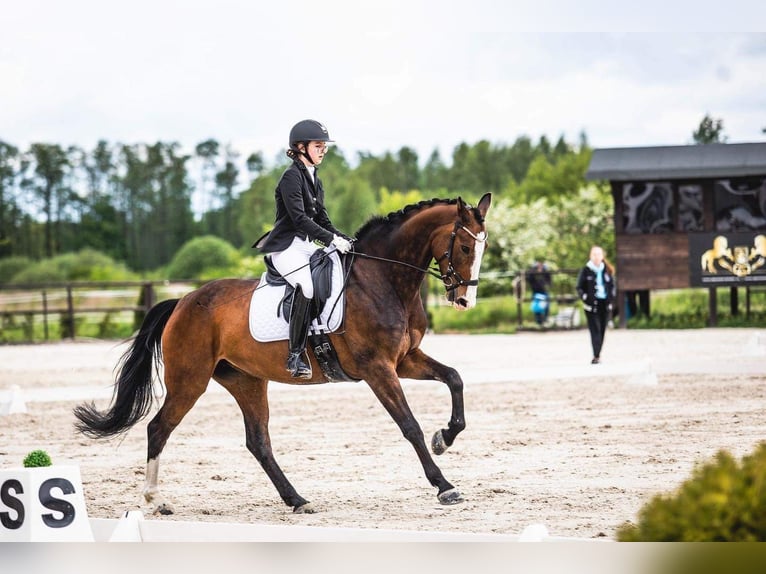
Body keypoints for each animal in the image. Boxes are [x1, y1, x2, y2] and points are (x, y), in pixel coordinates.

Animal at [75, 195, 496, 516]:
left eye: (484, 247)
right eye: (464, 246)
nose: (464, 300)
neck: (383, 281)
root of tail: (182, 302)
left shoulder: (404, 360)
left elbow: (454, 377)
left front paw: (445, 436)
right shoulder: (378, 368)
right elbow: (408, 425)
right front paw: (444, 485)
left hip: (245, 380)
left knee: (258, 441)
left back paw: (296, 499)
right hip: (189, 381)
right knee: (159, 428)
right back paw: (156, 500)